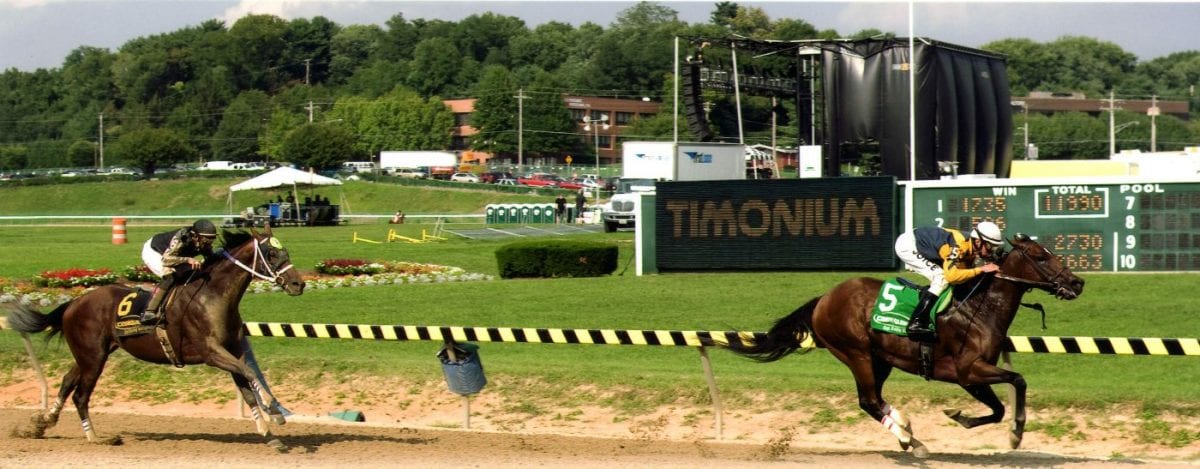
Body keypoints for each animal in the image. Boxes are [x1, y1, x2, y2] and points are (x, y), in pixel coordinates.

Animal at [5, 225, 304, 443]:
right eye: (272, 254)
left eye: (287, 252)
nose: (297, 284)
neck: (212, 296)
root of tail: (75, 302)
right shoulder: (212, 352)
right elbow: (250, 373)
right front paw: (274, 410)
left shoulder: (232, 350)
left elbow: (248, 385)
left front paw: (269, 429)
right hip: (93, 356)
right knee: (80, 395)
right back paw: (95, 437)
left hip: (90, 354)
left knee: (68, 382)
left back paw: (43, 423)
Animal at [720, 237, 1089, 458]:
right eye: (1041, 256)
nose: (1077, 282)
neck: (979, 308)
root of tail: (824, 299)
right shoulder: (967, 370)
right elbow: (1017, 381)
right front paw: (1014, 433)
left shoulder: (970, 376)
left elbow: (999, 406)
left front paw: (965, 419)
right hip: (855, 353)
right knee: (869, 401)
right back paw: (909, 437)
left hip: (879, 358)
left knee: (874, 400)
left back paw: (908, 433)